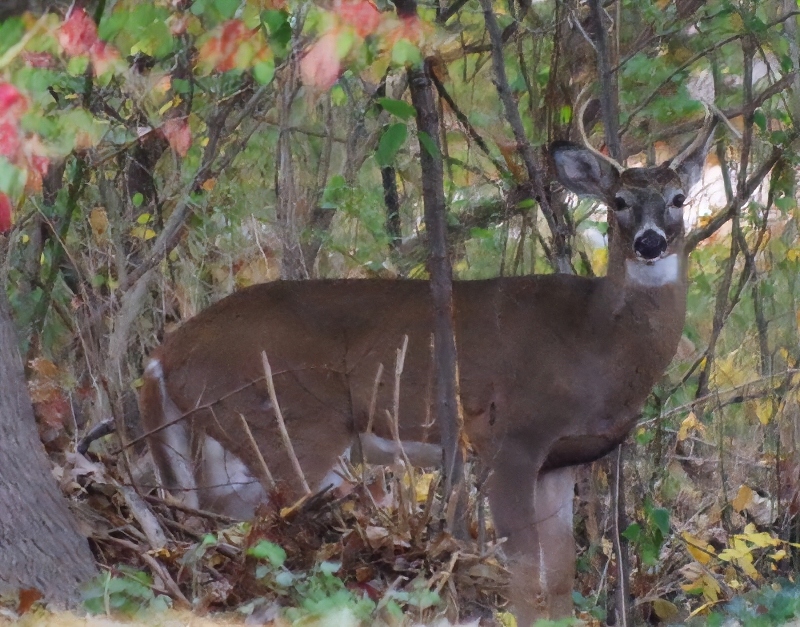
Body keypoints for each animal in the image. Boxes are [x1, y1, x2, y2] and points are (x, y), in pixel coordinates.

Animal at [139, 116, 720, 624]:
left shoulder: (561, 461)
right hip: (289, 424)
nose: (650, 242)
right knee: (270, 536)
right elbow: (524, 574)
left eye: (678, 199)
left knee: (212, 520)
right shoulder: (508, 437)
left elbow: (559, 579)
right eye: (619, 202)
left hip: (227, 437)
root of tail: (163, 355)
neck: (596, 341)